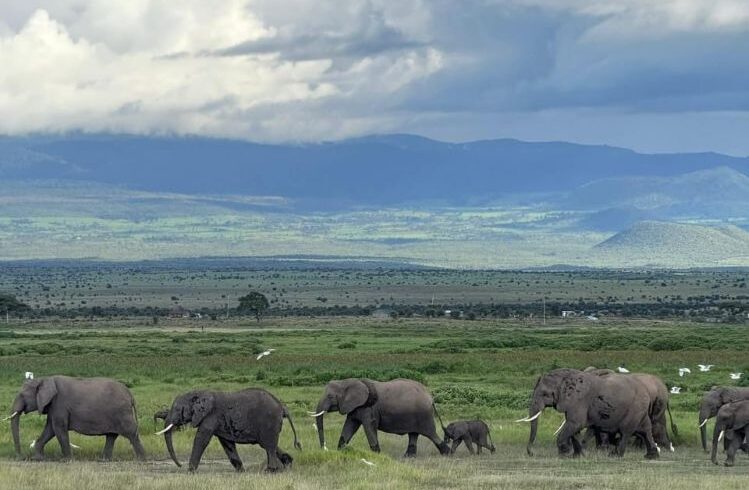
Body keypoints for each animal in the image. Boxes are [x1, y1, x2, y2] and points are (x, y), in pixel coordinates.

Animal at [5, 376, 145, 461]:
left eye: (22, 395)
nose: (21, 457)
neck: (44, 379)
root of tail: (130, 394)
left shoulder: (59, 404)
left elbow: (58, 429)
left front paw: (67, 460)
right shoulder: (53, 406)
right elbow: (50, 429)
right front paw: (38, 458)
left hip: (122, 413)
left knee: (131, 433)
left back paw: (142, 459)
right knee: (111, 436)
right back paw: (104, 460)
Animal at [158, 388, 301, 472]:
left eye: (177, 409)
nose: (179, 466)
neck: (198, 393)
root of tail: (282, 407)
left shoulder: (211, 416)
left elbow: (201, 439)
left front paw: (190, 471)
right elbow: (227, 443)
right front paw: (241, 472)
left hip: (269, 422)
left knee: (269, 445)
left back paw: (270, 470)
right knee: (269, 444)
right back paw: (287, 465)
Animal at [311, 378, 451, 457]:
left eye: (330, 396)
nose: (324, 450)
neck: (347, 381)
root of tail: (431, 397)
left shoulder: (369, 408)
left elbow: (369, 426)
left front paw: (377, 455)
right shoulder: (355, 407)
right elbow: (350, 426)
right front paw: (340, 451)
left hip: (424, 415)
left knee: (431, 434)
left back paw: (448, 454)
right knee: (413, 434)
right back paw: (408, 457)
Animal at [523, 368, 659, 459]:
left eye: (545, 394)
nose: (532, 453)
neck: (563, 378)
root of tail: (647, 391)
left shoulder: (579, 400)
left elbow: (575, 424)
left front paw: (564, 454)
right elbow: (574, 428)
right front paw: (577, 456)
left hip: (634, 409)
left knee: (626, 432)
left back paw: (615, 455)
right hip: (640, 411)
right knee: (645, 430)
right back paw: (651, 456)